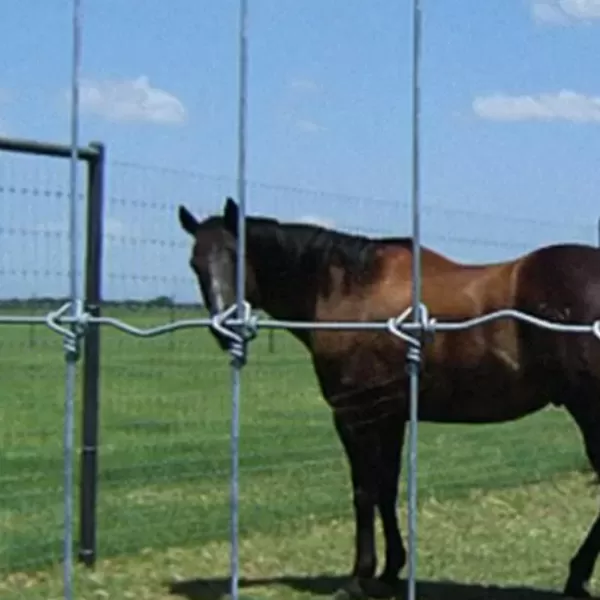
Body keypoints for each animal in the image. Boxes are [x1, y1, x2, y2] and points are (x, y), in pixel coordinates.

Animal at [178, 197, 600, 600]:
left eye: (237, 255)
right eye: (194, 263)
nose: (226, 328)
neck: (350, 289)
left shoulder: (353, 414)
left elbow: (364, 492)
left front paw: (360, 575)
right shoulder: (391, 416)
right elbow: (387, 488)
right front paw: (391, 569)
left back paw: (576, 576)